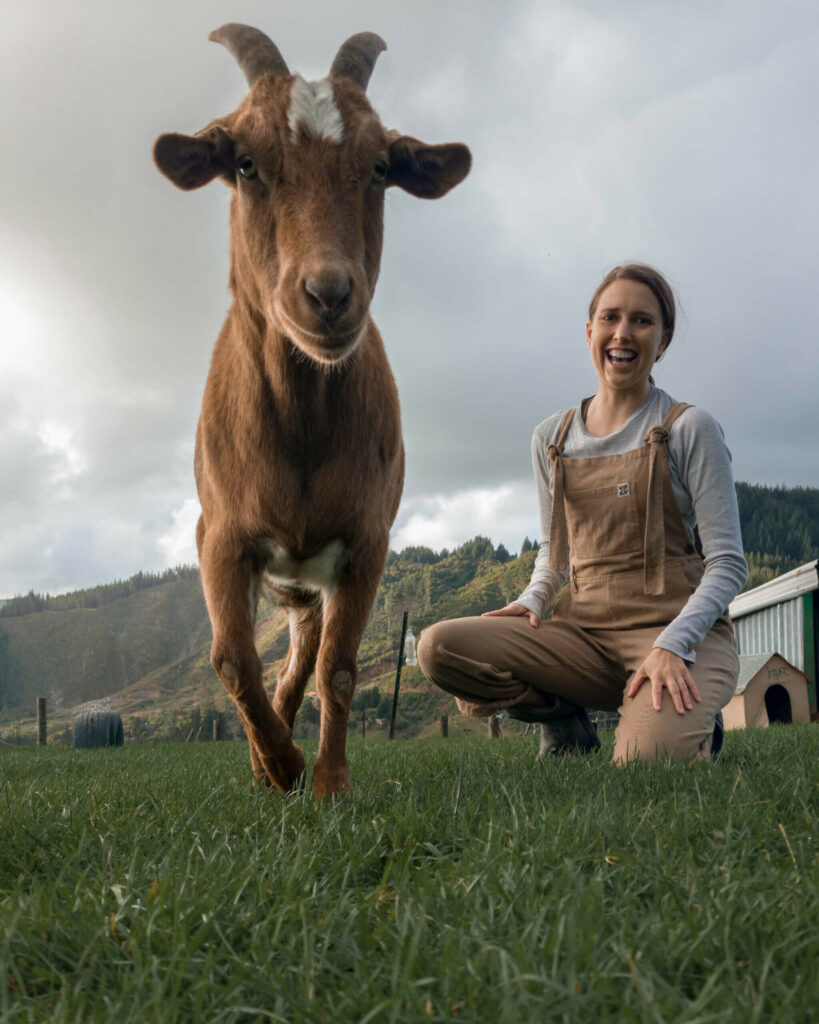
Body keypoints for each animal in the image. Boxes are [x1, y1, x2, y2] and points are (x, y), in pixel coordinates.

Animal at [153, 19, 470, 794]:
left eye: (382, 166)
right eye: (243, 162)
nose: (328, 295)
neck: (299, 434)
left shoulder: (365, 541)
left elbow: (340, 669)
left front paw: (326, 780)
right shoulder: (219, 536)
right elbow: (231, 658)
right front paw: (280, 764)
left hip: (307, 588)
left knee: (300, 662)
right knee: (274, 663)